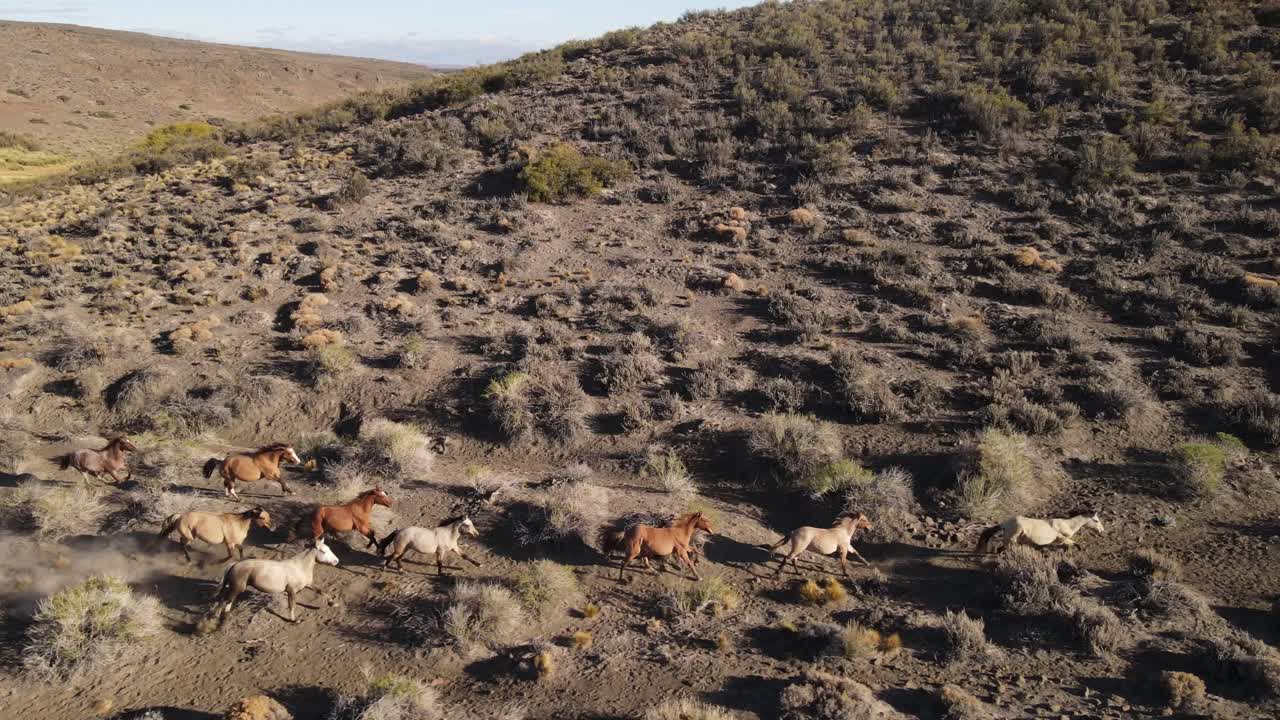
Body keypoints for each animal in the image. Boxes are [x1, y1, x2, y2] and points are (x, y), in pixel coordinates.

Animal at [209, 538, 339, 625]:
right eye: (323, 551)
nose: (336, 561)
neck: (299, 566)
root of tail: (235, 564)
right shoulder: (291, 590)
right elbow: (292, 605)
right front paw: (294, 620)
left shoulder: (308, 585)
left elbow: (321, 591)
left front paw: (333, 603)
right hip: (237, 588)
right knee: (225, 601)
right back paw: (219, 619)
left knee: (226, 602)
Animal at [975, 513, 1104, 554]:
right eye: (1096, 520)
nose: (1102, 531)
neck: (1067, 525)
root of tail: (1005, 524)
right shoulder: (1061, 538)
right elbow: (1074, 544)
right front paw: (1080, 549)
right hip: (1011, 539)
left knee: (1000, 550)